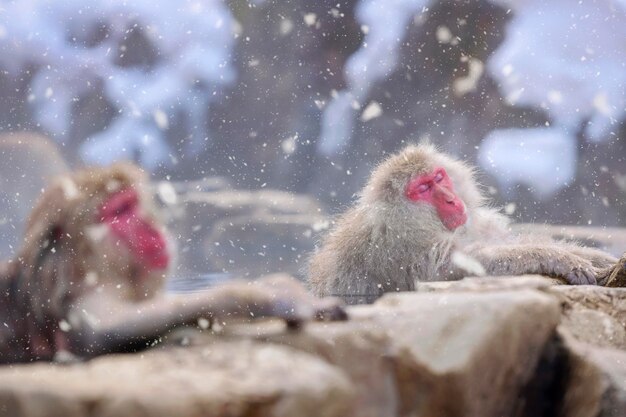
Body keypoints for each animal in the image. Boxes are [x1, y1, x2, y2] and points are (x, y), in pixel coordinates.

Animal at [0, 161, 344, 362]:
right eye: (118, 213)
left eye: (132, 203)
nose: (152, 228)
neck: (83, 266)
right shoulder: (83, 297)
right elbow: (101, 334)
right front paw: (270, 296)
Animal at [308, 143, 620, 302]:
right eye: (423, 189)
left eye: (438, 177)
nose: (450, 199)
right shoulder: (398, 248)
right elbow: (452, 268)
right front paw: (557, 258)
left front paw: (600, 258)